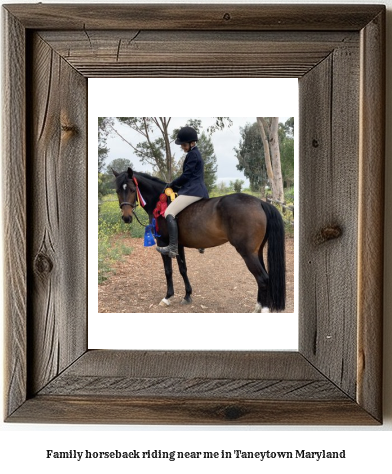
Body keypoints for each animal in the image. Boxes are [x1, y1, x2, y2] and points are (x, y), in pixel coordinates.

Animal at [112, 168, 284, 312]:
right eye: (117, 190)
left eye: (132, 189)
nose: (126, 217)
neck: (159, 202)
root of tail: (260, 202)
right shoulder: (178, 245)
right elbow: (182, 269)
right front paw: (187, 295)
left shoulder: (163, 244)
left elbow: (168, 270)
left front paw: (167, 297)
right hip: (257, 252)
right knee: (263, 277)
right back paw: (259, 306)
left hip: (248, 253)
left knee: (263, 279)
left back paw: (263, 309)